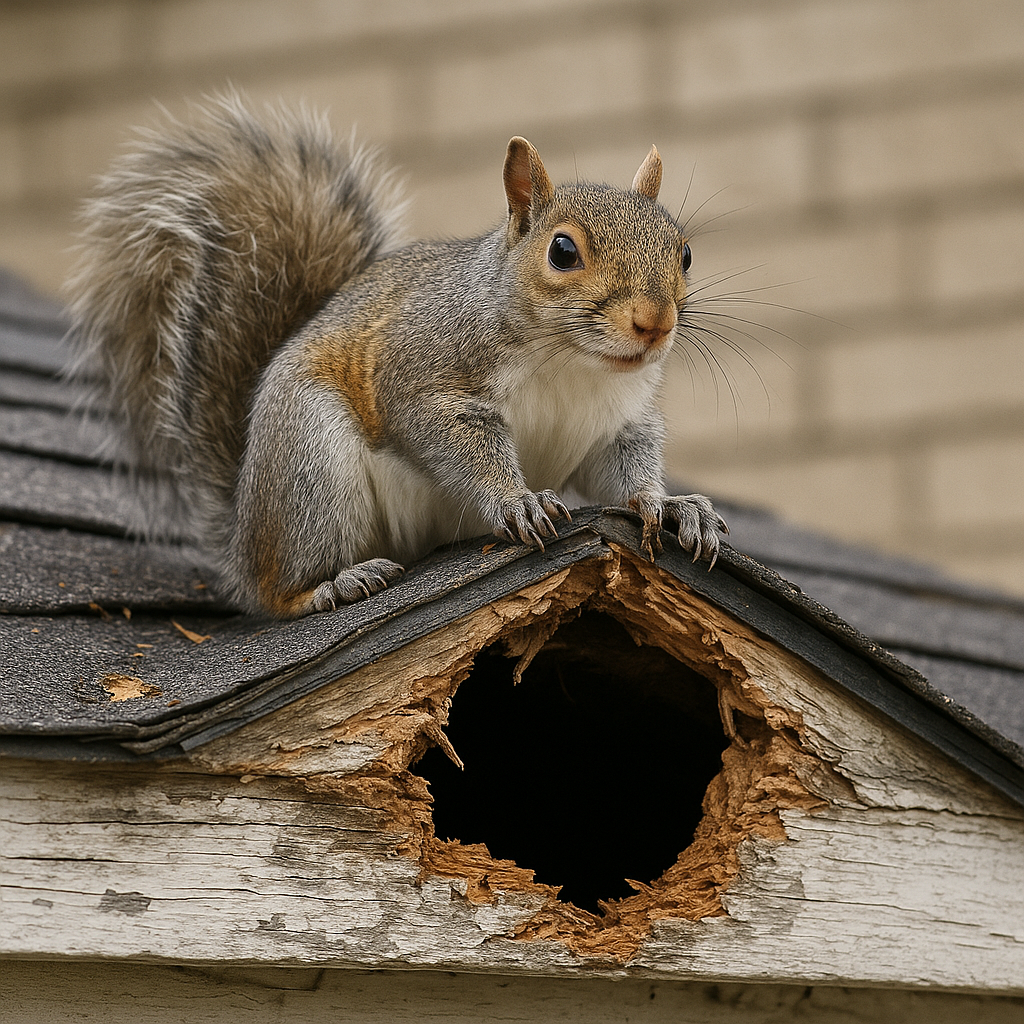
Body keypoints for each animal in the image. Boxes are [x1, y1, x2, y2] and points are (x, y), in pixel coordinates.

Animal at [67, 95, 728, 619]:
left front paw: (671, 506)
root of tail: (244, 531)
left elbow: (620, 471)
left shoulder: (618, 422)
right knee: (275, 591)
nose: (655, 323)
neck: (573, 362)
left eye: (685, 253)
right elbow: (446, 435)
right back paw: (332, 585)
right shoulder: (422, 371)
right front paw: (517, 500)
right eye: (562, 251)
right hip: (312, 464)